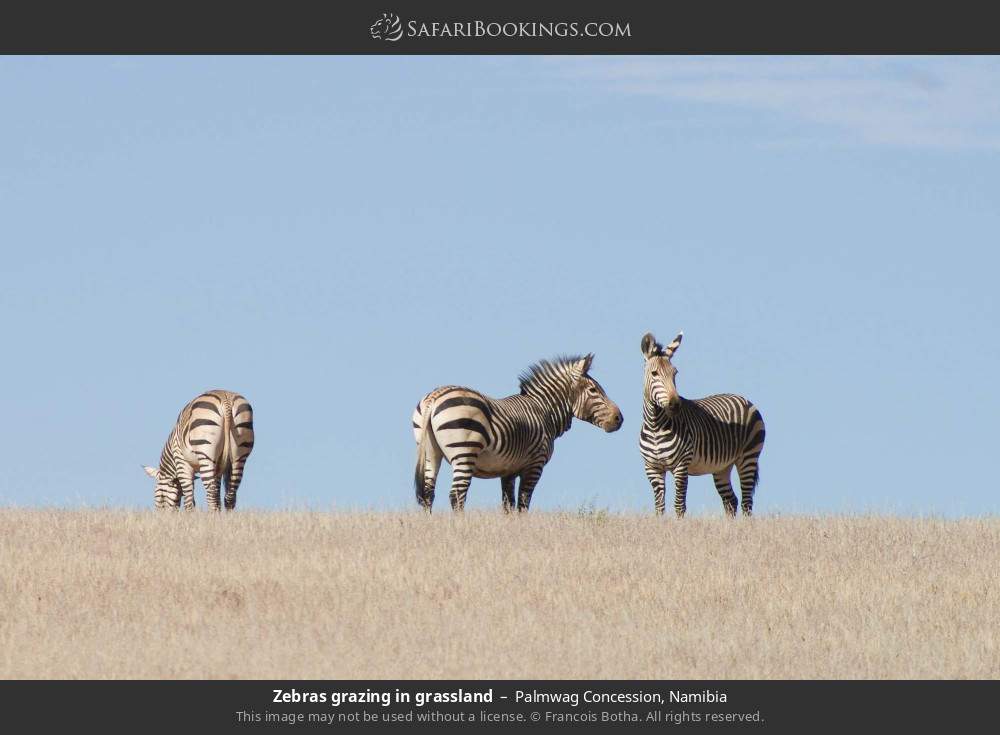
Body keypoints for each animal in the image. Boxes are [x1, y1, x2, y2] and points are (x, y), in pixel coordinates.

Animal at [410, 356, 620, 512]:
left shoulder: (508, 471)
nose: (620, 419)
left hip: (430, 451)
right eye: (593, 390)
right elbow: (523, 504)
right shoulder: (534, 466)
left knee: (428, 494)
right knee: (457, 495)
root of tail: (435, 396)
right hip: (465, 451)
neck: (544, 410)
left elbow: (508, 505)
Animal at [640, 334, 764, 516]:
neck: (656, 426)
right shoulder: (652, 468)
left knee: (746, 502)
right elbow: (659, 507)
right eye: (654, 373)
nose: (676, 405)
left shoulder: (681, 465)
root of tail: (744, 398)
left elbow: (679, 505)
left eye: (675, 373)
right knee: (731, 501)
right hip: (722, 467)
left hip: (749, 456)